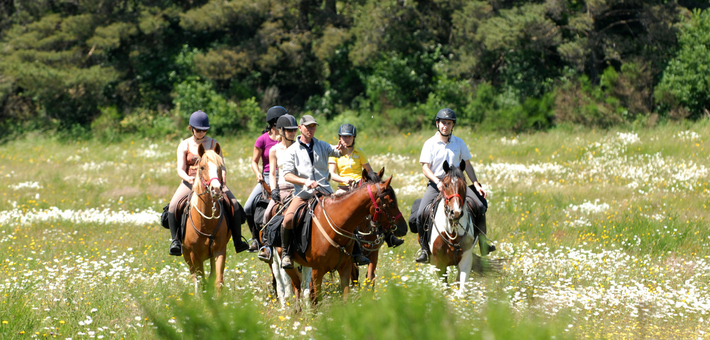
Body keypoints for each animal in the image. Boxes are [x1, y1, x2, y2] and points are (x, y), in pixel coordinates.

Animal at [182, 142, 232, 294]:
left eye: (220, 167)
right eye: (202, 167)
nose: (216, 190)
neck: (206, 222)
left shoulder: (219, 251)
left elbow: (217, 282)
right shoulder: (194, 255)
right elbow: (201, 282)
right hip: (187, 256)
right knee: (195, 278)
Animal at [282, 177, 406, 306]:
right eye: (392, 203)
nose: (404, 228)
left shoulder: (346, 266)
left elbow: (354, 288)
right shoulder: (317, 271)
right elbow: (317, 296)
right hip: (290, 268)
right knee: (296, 287)